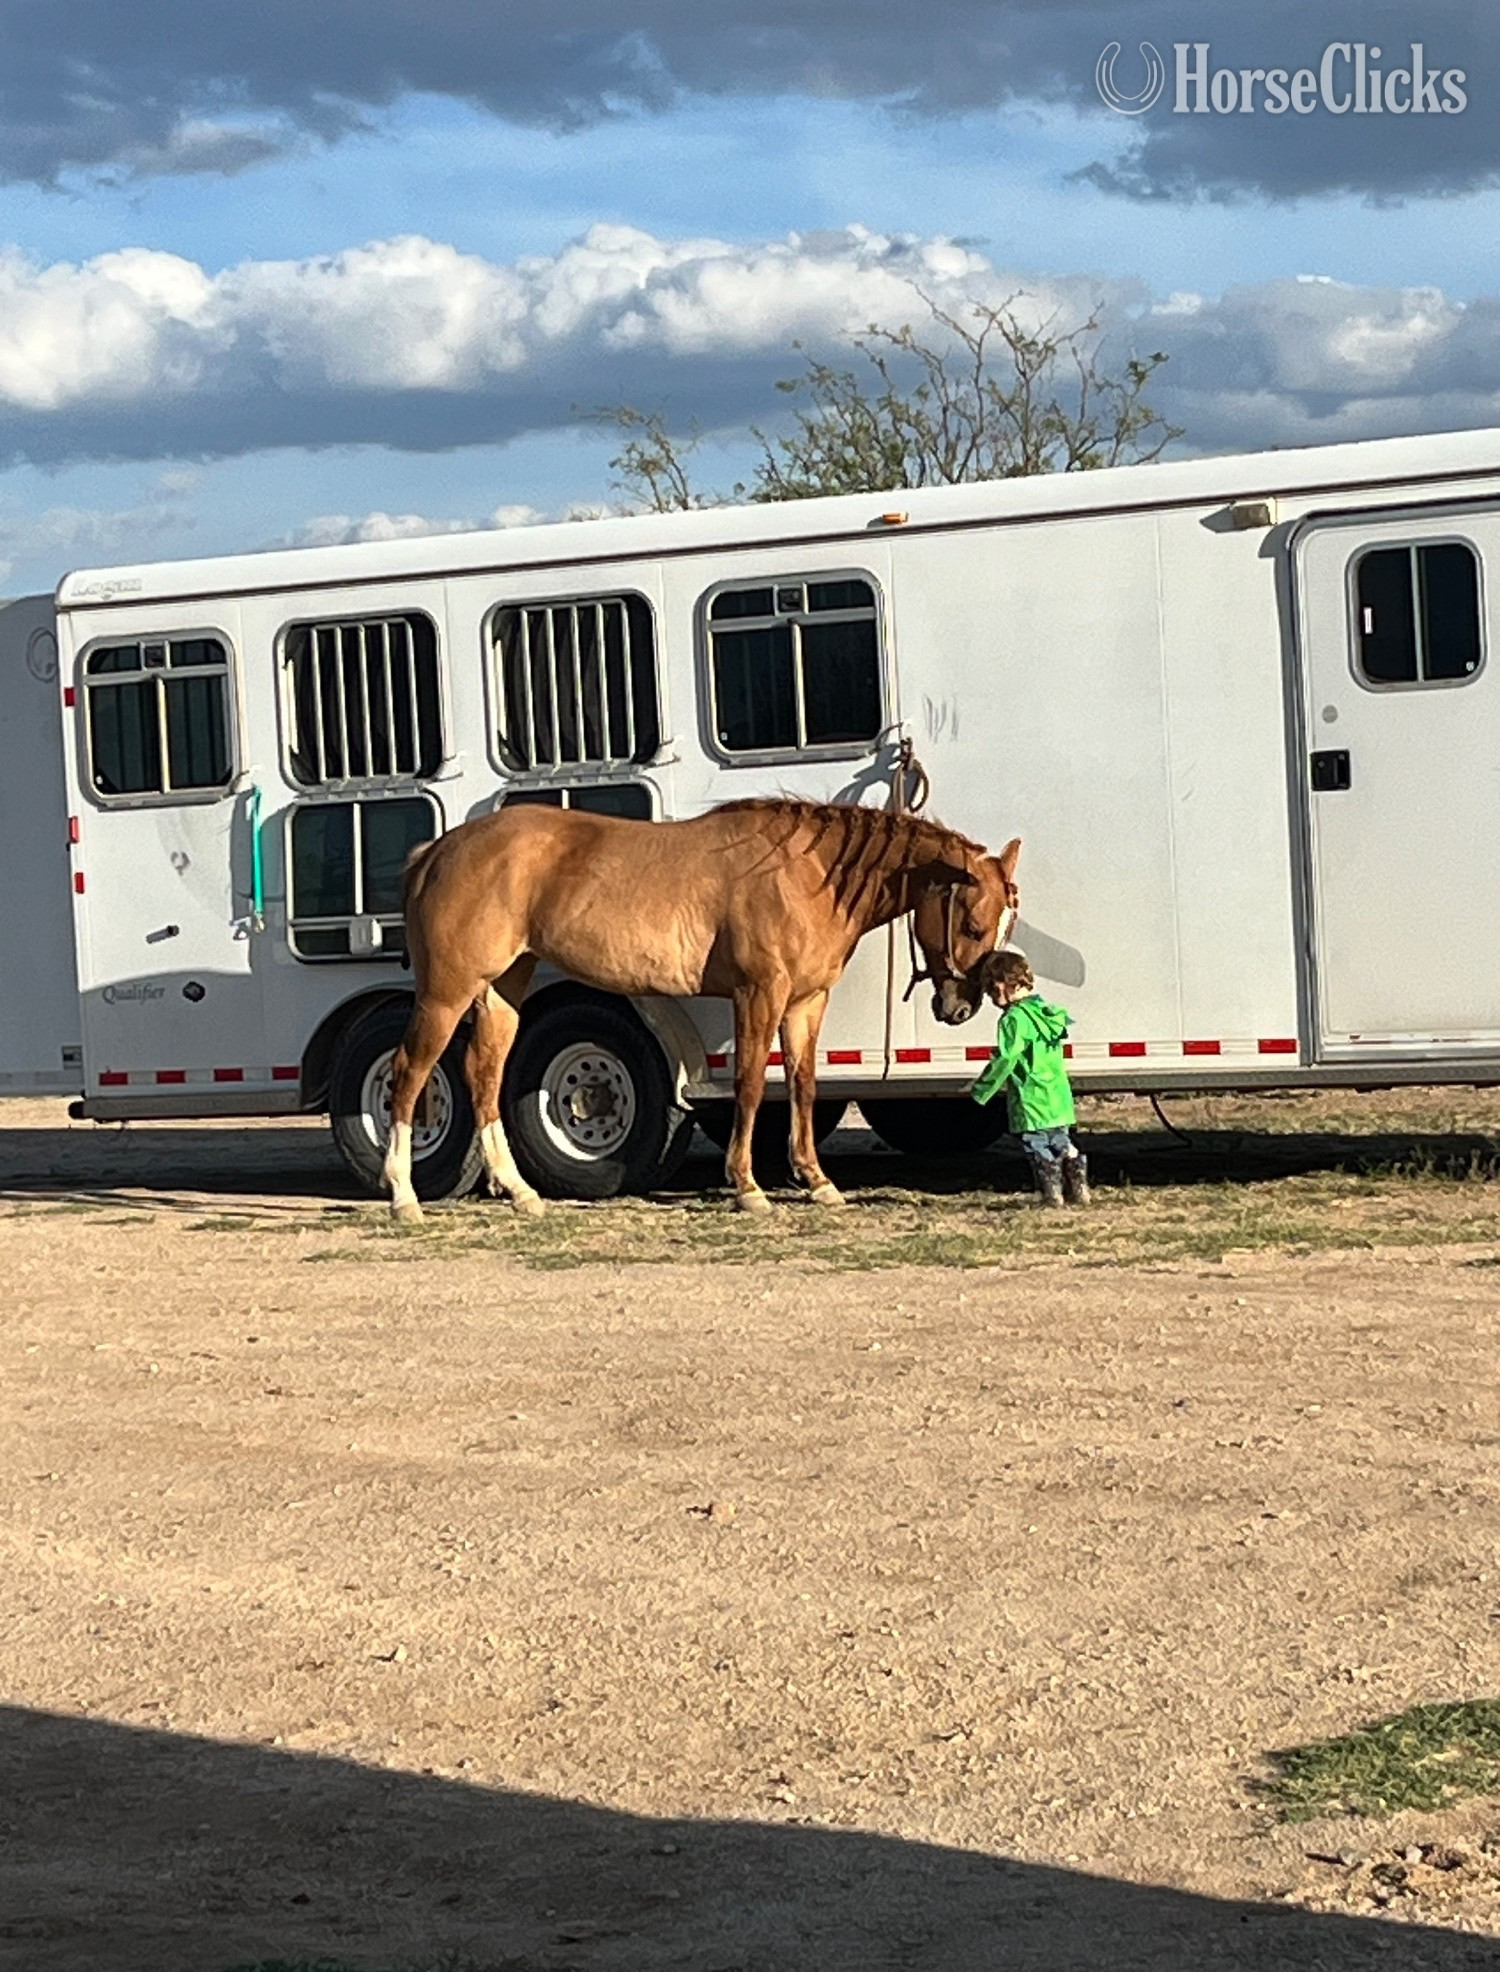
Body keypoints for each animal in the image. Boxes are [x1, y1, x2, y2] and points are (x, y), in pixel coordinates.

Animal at [383, 797, 1021, 1221]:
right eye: (972, 924)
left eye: (1004, 921)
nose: (960, 1006)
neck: (808, 875)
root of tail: (435, 852)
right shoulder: (758, 993)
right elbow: (749, 1084)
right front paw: (747, 1186)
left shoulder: (806, 1003)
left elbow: (804, 1085)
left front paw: (816, 1179)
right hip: (447, 993)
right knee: (411, 1072)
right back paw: (403, 1195)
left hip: (501, 990)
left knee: (483, 1075)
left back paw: (519, 1191)